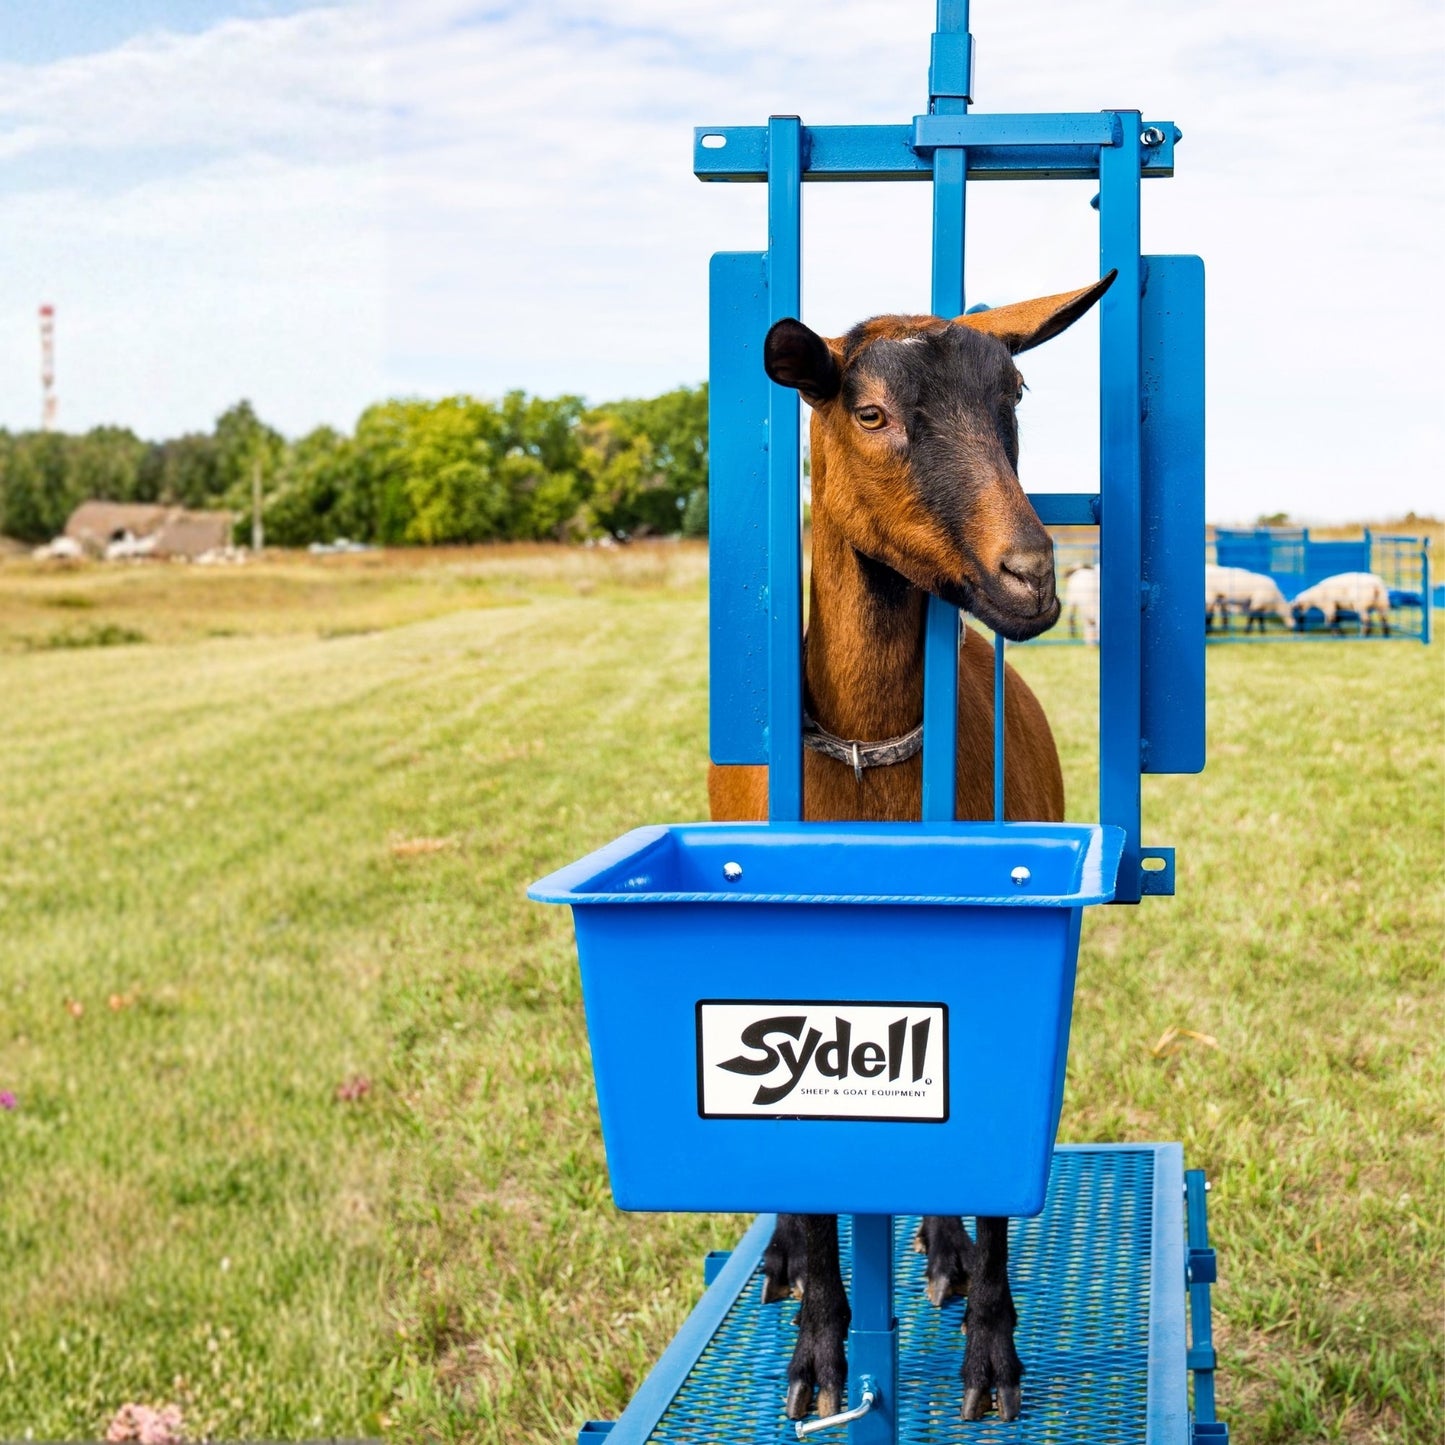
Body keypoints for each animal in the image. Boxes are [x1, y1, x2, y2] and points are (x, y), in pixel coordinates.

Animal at [708, 273, 1114, 1424]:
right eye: (869, 412)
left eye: (1013, 392)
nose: (1030, 575)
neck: (868, 764)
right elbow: (808, 1190)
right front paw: (814, 1357)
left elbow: (986, 1179)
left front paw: (990, 1357)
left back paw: (938, 1251)